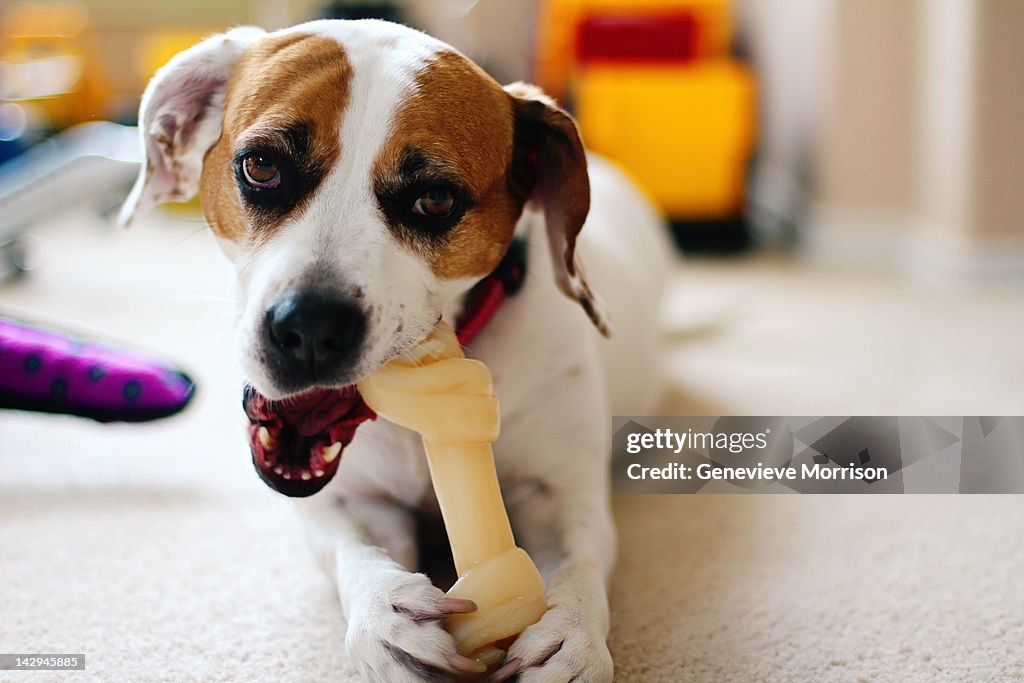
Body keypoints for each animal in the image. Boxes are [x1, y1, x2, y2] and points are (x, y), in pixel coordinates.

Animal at [119, 18, 667, 679]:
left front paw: (573, 635)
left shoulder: (557, 494)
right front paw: (385, 615)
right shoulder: (351, 503)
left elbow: (578, 562)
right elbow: (354, 554)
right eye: (262, 166)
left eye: (434, 200)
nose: (309, 327)